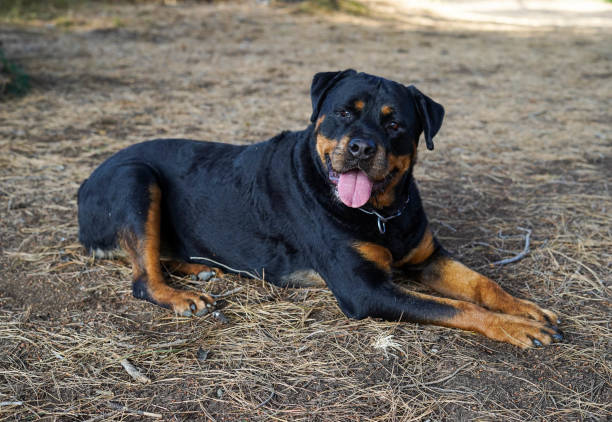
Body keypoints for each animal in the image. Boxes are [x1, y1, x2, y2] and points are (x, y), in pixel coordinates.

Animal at [77, 69, 564, 348]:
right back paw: (181, 295)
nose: (362, 147)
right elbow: (457, 307)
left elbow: (482, 285)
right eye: (344, 113)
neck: (381, 213)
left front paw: (525, 309)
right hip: (135, 178)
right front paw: (517, 328)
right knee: (142, 278)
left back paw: (198, 268)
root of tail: (84, 183)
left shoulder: (428, 257)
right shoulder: (366, 290)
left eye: (395, 123)